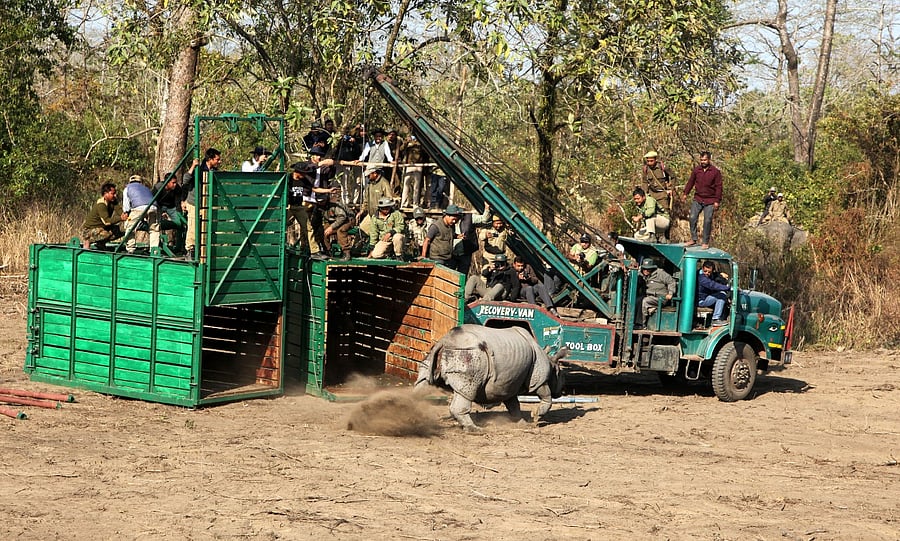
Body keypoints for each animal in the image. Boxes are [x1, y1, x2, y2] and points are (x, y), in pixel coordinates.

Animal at [415, 324, 567, 432]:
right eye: (560, 375)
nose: (561, 393)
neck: (550, 362)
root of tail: (444, 341)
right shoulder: (538, 379)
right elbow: (546, 396)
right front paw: (536, 417)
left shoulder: (509, 384)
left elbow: (514, 405)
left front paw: (522, 423)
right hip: (469, 354)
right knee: (467, 391)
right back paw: (476, 430)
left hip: (438, 354)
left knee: (423, 383)